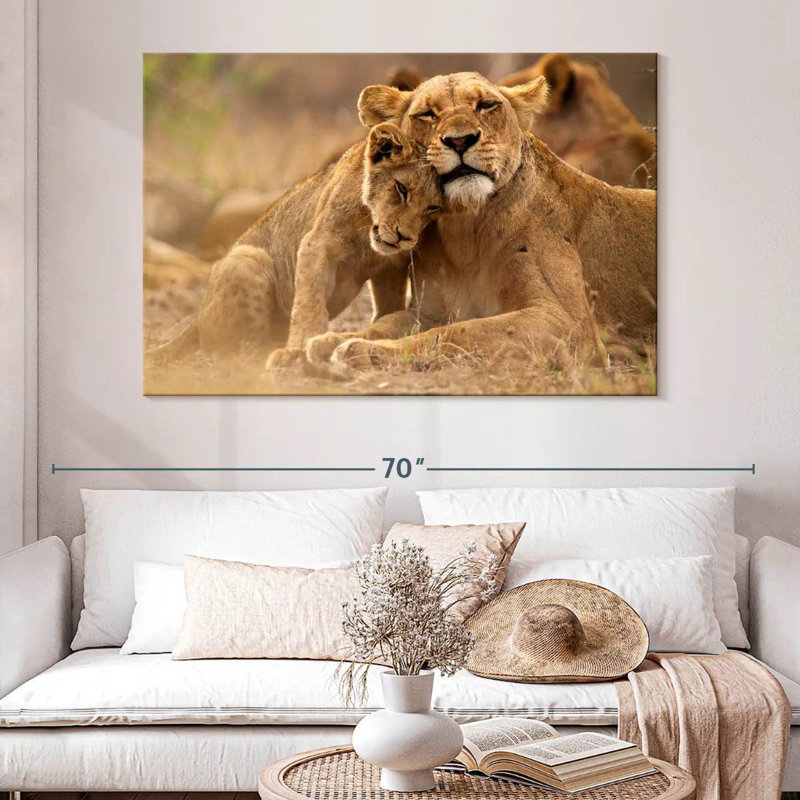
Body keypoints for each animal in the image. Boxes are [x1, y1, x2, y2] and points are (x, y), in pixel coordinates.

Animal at [147, 123, 443, 363]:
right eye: (401, 189)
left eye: (433, 208)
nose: (405, 237)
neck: (367, 232)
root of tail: (196, 316)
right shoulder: (317, 245)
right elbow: (309, 303)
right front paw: (301, 347)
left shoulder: (391, 265)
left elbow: (389, 305)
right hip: (247, 260)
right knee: (236, 352)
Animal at [306, 72, 655, 375]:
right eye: (427, 114)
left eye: (486, 105)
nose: (460, 141)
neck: (466, 230)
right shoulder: (428, 311)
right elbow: (386, 323)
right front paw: (330, 340)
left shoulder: (569, 323)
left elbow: (461, 332)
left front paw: (362, 350)